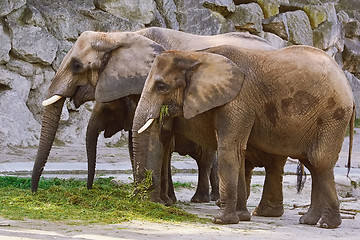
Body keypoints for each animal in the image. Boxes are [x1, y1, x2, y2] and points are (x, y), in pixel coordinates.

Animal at [132, 44, 354, 229]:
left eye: (161, 87)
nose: (146, 200)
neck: (197, 55)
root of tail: (346, 81)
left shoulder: (237, 101)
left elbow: (229, 150)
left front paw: (222, 221)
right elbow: (238, 153)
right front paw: (241, 217)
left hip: (333, 116)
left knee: (319, 162)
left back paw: (326, 225)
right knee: (313, 164)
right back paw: (308, 221)